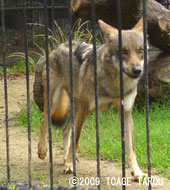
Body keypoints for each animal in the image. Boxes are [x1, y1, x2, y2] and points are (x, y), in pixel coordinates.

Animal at [37, 18, 146, 181]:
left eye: (140, 51)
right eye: (123, 51)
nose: (137, 70)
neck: (114, 85)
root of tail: (58, 46)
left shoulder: (125, 112)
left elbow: (131, 147)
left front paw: (136, 171)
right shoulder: (86, 109)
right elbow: (76, 139)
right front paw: (69, 165)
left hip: (75, 108)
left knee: (65, 130)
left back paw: (65, 158)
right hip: (55, 101)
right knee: (44, 120)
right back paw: (43, 150)